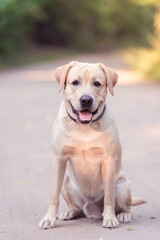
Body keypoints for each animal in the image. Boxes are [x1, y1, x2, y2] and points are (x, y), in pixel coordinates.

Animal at [39, 60, 145, 229]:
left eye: (97, 83)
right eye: (75, 82)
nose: (86, 100)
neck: (84, 127)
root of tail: (91, 209)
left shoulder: (108, 161)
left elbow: (109, 197)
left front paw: (110, 218)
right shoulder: (59, 159)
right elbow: (53, 196)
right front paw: (49, 219)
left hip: (122, 186)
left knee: (125, 205)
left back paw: (123, 215)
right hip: (66, 183)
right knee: (77, 208)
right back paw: (69, 212)